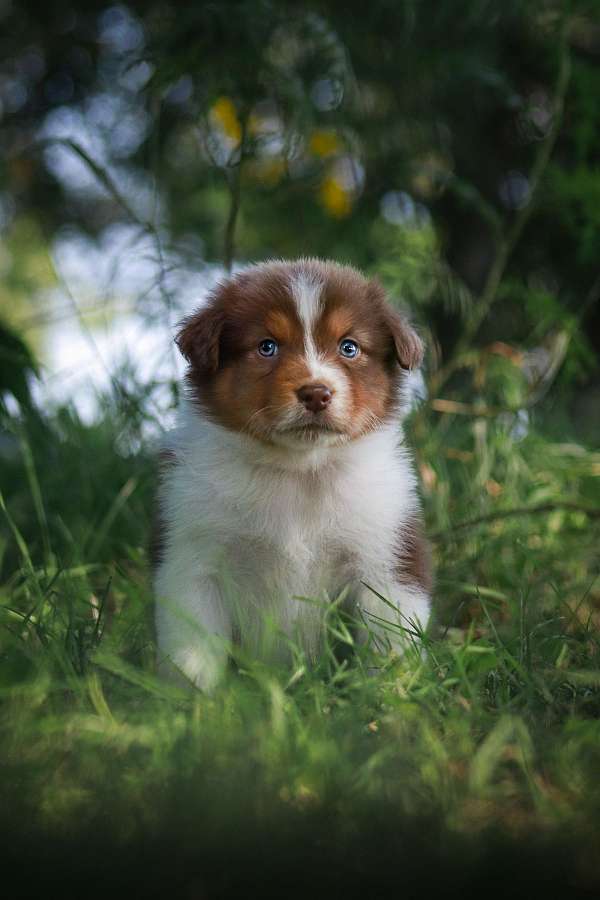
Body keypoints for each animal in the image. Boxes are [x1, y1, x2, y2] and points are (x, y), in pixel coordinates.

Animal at [152, 256, 428, 692]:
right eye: (267, 346)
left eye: (349, 347)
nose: (316, 393)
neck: (299, 471)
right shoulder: (193, 558)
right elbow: (193, 652)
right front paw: (193, 702)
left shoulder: (385, 558)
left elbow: (389, 644)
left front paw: (388, 698)